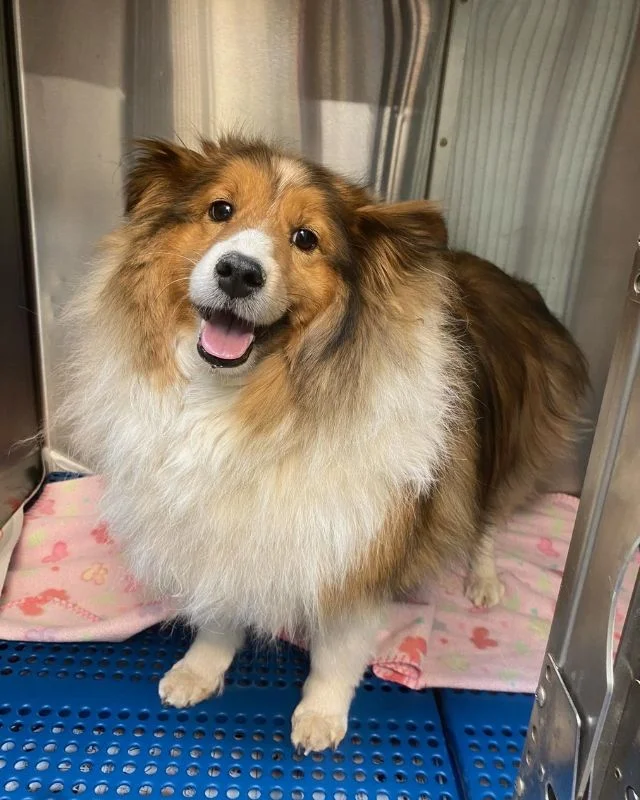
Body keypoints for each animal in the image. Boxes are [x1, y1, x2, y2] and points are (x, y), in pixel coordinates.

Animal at [62, 135, 588, 753]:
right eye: (220, 209)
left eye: (305, 238)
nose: (238, 272)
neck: (242, 402)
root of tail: (517, 282)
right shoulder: (217, 534)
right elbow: (218, 617)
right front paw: (198, 671)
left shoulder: (358, 543)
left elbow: (337, 653)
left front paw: (319, 717)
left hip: (506, 453)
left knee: (487, 520)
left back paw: (482, 580)